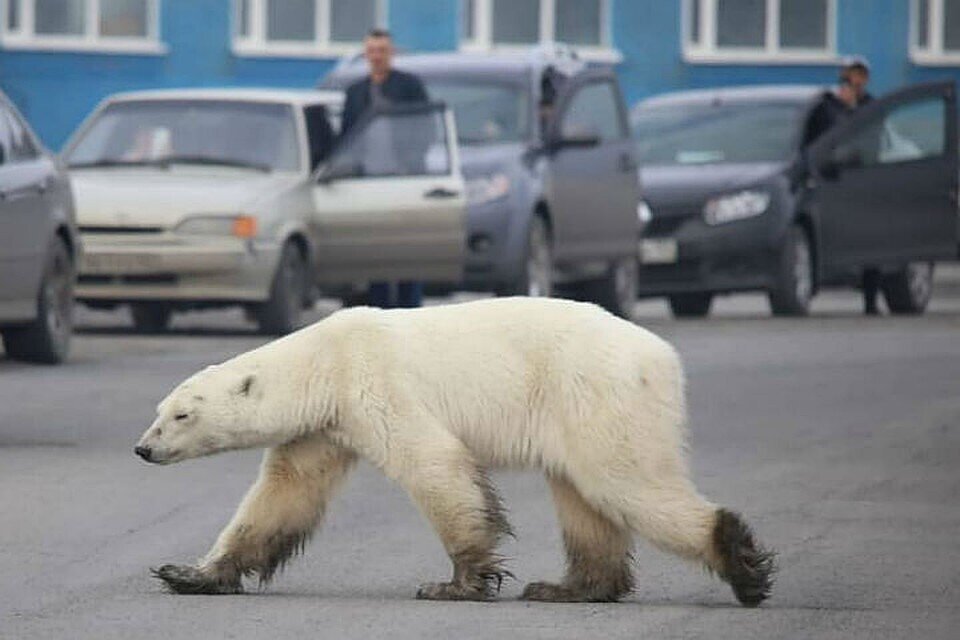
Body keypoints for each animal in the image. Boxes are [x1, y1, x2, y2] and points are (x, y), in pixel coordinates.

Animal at [135, 296, 776, 604]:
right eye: (159, 410)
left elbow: (434, 465)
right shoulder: (323, 427)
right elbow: (282, 495)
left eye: (182, 415)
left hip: (595, 392)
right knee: (584, 499)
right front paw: (188, 573)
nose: (142, 449)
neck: (324, 361)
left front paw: (456, 584)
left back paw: (741, 564)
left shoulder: (375, 383)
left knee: (625, 482)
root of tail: (663, 356)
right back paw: (567, 587)